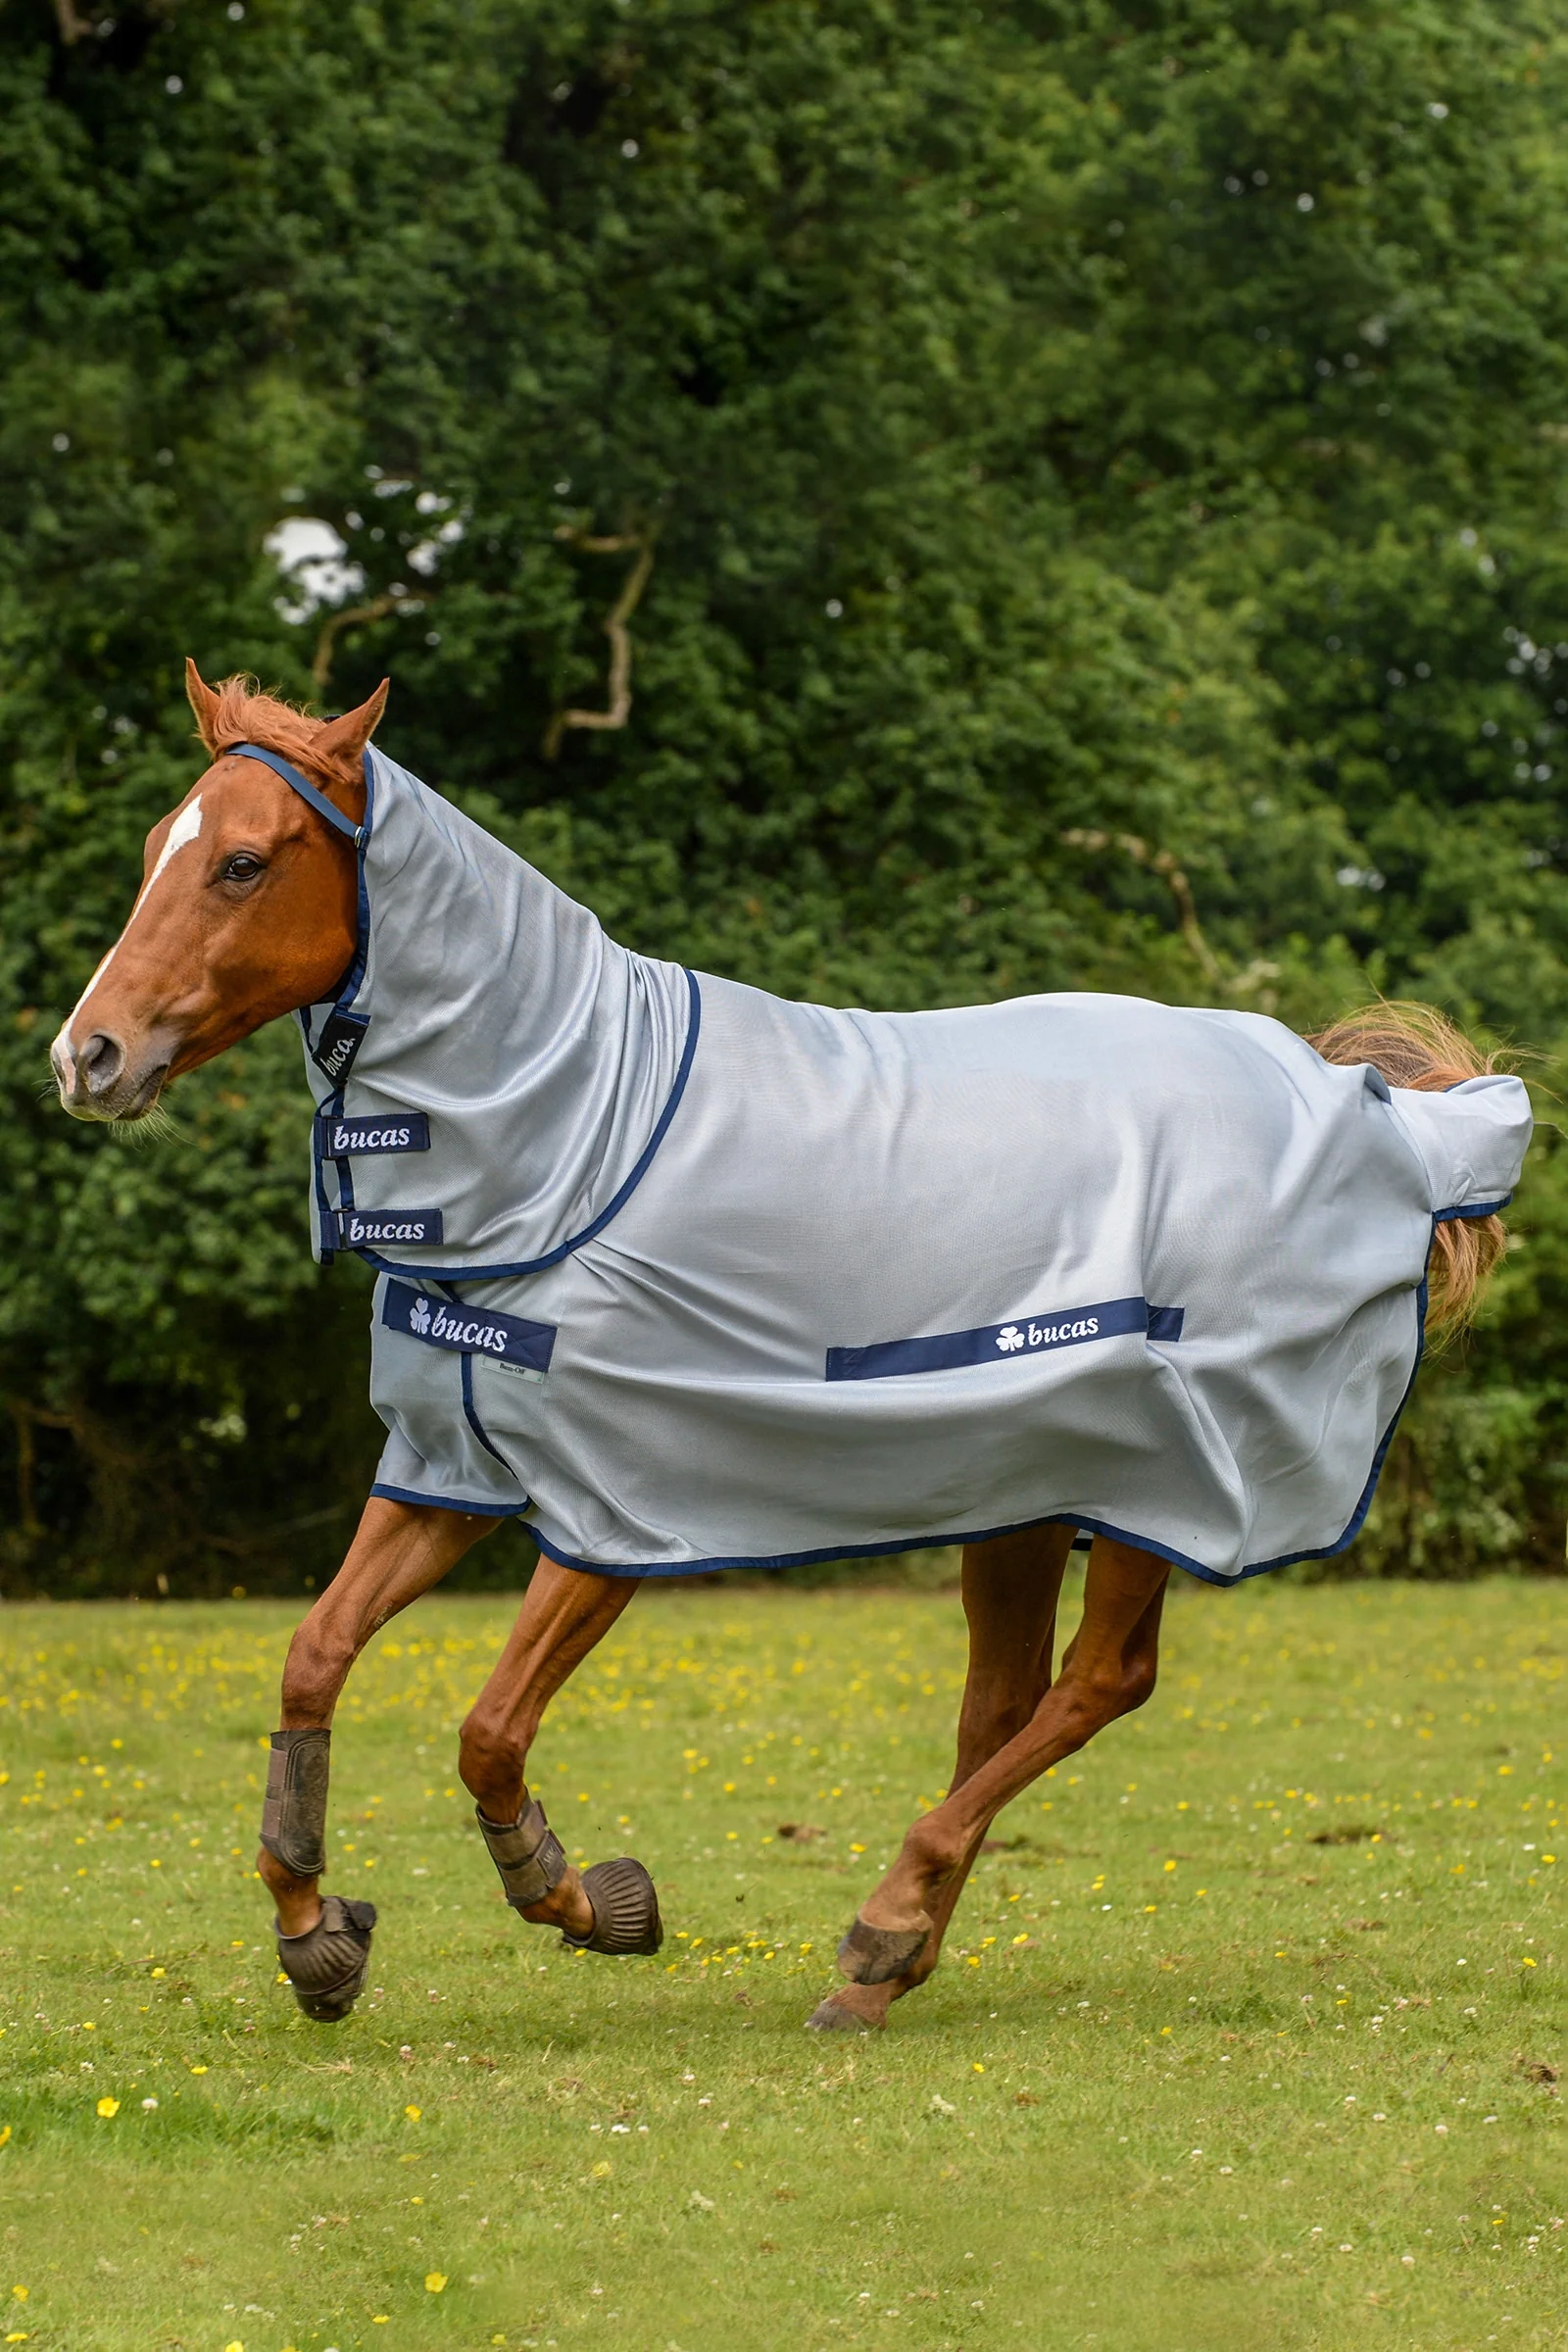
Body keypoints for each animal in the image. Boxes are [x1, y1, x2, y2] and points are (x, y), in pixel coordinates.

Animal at [49, 664, 1528, 2034]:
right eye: (159, 846)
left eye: (244, 862)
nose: (86, 1057)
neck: (578, 1134)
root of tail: (1380, 1113)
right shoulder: (449, 1469)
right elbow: (311, 1657)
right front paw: (316, 1933)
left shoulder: (613, 1504)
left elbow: (487, 1733)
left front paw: (588, 1902)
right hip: (1018, 1488)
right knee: (1002, 1700)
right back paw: (890, 1963)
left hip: (1159, 1484)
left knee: (1100, 1683)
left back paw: (885, 1923)